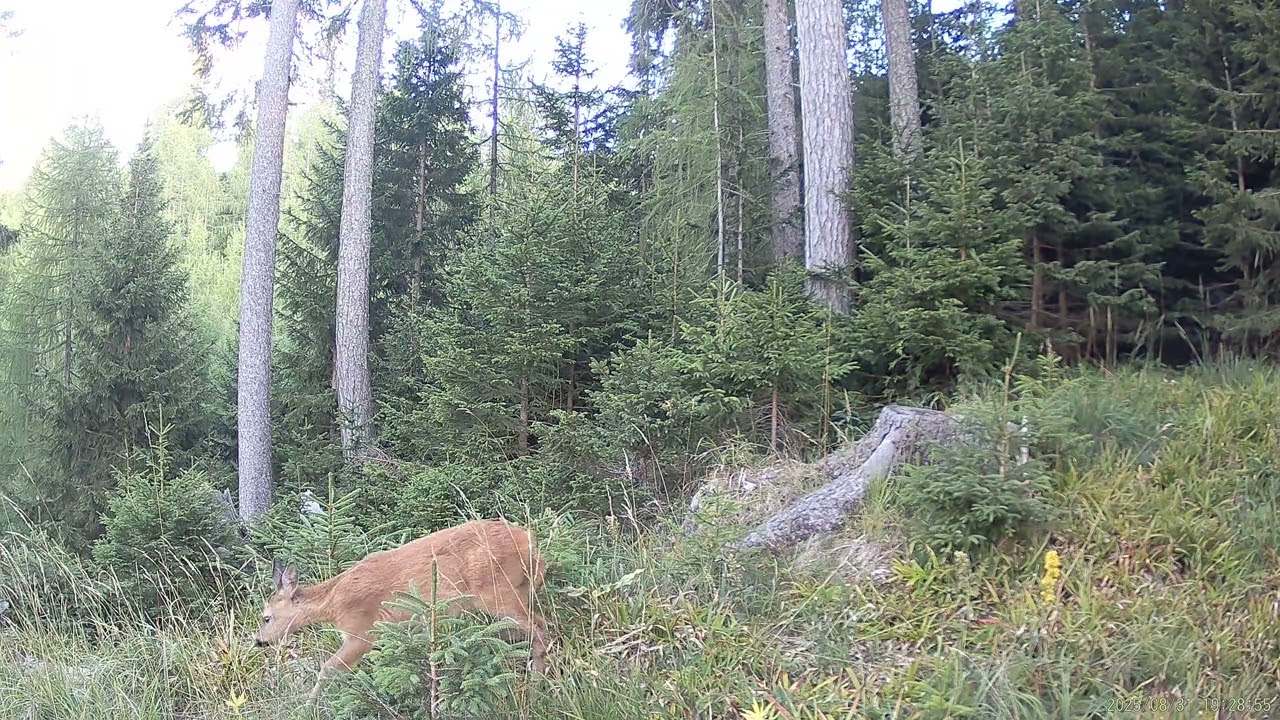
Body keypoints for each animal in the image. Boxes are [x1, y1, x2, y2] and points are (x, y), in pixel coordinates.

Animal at [253, 518, 548, 702]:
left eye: (266, 617)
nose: (258, 641)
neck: (334, 603)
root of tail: (531, 542)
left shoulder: (361, 632)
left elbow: (327, 669)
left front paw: (308, 706)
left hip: (497, 591)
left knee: (540, 627)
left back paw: (536, 687)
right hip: (520, 589)